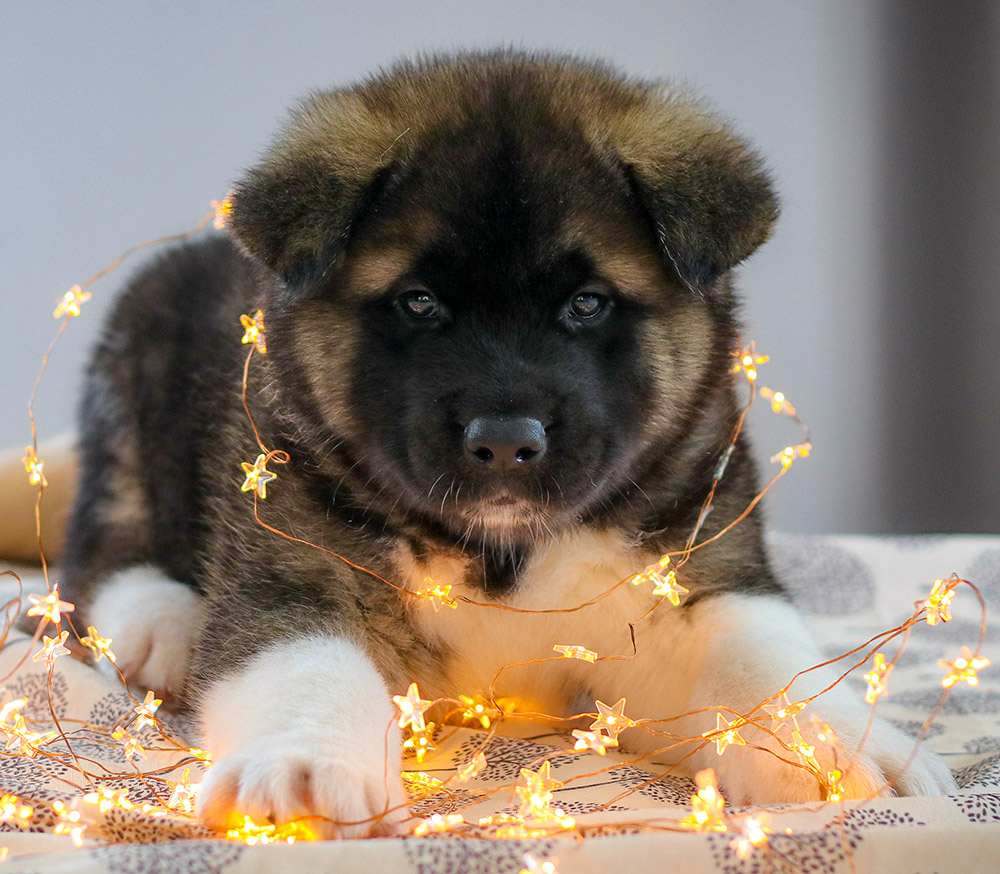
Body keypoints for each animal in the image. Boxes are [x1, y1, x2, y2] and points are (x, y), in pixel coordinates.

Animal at [56, 51, 952, 836]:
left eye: (587, 304)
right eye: (420, 303)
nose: (505, 444)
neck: (504, 554)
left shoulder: (683, 576)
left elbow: (756, 654)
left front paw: (843, 746)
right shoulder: (299, 559)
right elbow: (303, 664)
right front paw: (302, 772)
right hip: (128, 409)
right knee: (97, 561)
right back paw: (164, 628)